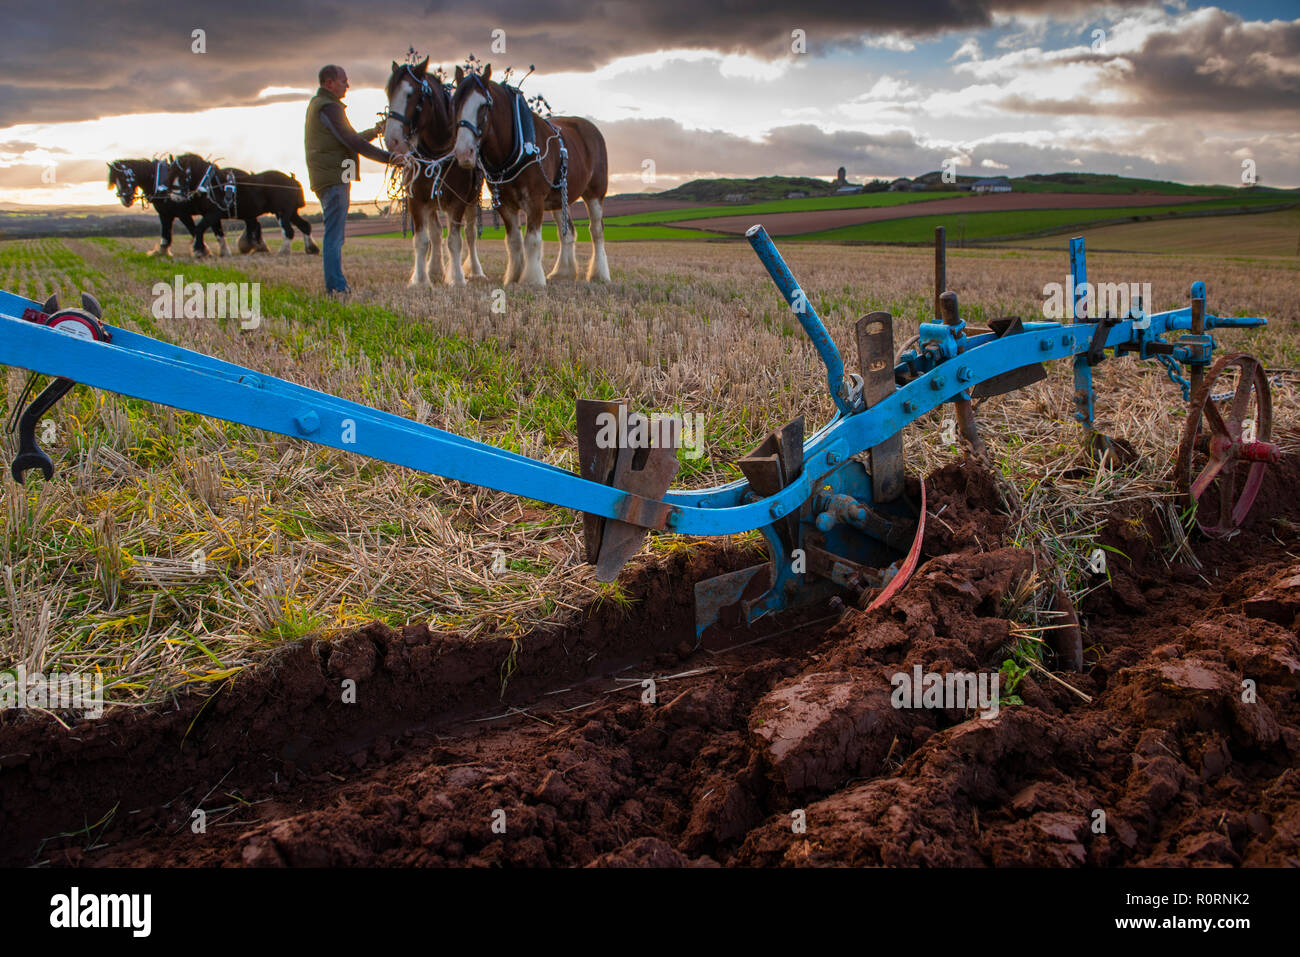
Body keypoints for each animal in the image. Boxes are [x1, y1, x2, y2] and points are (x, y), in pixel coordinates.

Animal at [168, 153, 319, 258]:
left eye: (182, 175)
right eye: (171, 174)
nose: (174, 197)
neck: (211, 184)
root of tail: (292, 179)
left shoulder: (214, 213)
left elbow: (199, 228)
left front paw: (199, 251)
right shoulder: (212, 216)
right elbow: (218, 234)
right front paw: (224, 252)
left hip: (282, 212)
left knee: (288, 231)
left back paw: (284, 251)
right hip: (290, 212)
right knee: (305, 226)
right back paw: (311, 248)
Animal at [384, 58, 486, 286]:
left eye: (411, 94)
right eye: (389, 93)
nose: (392, 140)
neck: (436, 151)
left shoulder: (457, 200)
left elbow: (455, 240)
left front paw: (457, 278)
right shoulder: (416, 199)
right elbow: (423, 240)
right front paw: (421, 280)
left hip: (471, 199)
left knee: (470, 233)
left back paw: (475, 270)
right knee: (436, 233)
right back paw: (435, 269)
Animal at [451, 64, 610, 286]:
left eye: (484, 105)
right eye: (454, 103)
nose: (464, 153)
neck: (515, 146)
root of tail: (591, 128)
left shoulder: (535, 199)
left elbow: (532, 240)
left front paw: (532, 279)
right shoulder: (505, 204)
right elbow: (514, 241)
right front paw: (514, 276)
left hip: (595, 192)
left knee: (596, 230)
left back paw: (599, 274)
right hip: (560, 198)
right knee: (567, 232)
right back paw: (563, 272)